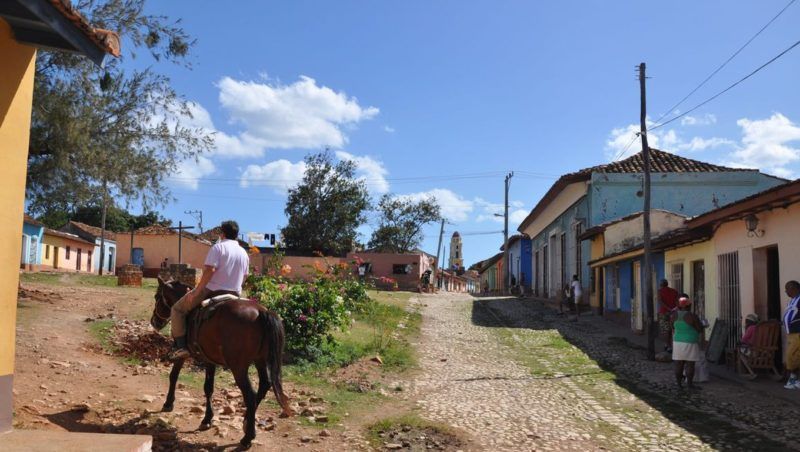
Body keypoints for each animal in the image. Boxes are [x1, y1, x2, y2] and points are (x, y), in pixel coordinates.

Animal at [151, 278, 294, 446]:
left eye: (157, 297)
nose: (154, 322)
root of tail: (261, 312)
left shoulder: (183, 354)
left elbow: (173, 376)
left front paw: (168, 403)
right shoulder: (209, 360)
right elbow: (208, 388)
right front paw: (207, 419)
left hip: (239, 367)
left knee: (250, 395)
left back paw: (248, 437)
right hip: (260, 360)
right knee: (265, 384)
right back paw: (246, 422)